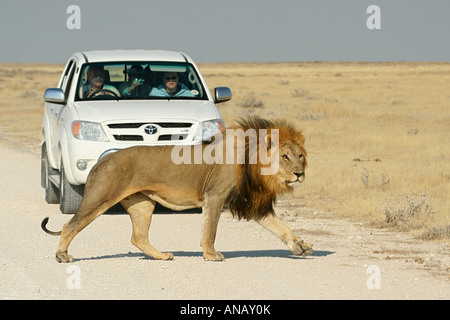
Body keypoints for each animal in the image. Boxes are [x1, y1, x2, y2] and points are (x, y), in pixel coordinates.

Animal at [41, 116, 312, 262]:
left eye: (300, 156)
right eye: (285, 157)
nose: (300, 174)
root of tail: (102, 161)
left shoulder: (249, 202)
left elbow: (281, 227)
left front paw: (299, 246)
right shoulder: (215, 196)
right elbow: (210, 230)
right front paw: (211, 255)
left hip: (142, 204)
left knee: (138, 237)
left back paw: (162, 256)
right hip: (101, 197)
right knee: (70, 225)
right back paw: (62, 255)